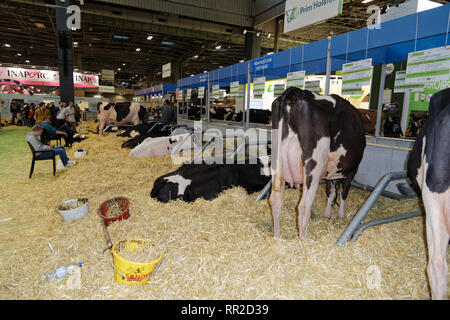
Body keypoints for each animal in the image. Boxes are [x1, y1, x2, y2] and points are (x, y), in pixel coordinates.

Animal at [268, 87, 364, 240]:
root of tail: (296, 92)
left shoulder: (330, 172)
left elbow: (330, 192)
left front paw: (328, 213)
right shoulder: (353, 169)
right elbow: (343, 192)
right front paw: (341, 215)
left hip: (278, 164)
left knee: (275, 200)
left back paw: (277, 236)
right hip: (313, 166)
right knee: (303, 206)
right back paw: (302, 240)